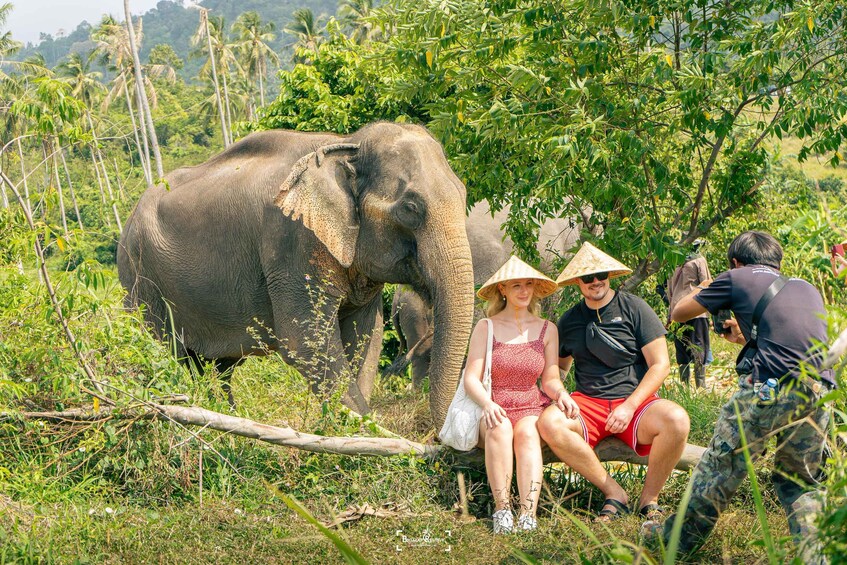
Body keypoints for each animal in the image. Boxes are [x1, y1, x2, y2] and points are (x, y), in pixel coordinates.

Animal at [117, 122, 475, 427]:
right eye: (410, 208)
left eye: (464, 194)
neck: (348, 144)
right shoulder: (291, 239)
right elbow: (304, 341)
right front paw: (367, 432)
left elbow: (366, 336)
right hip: (140, 280)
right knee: (166, 353)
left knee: (217, 367)